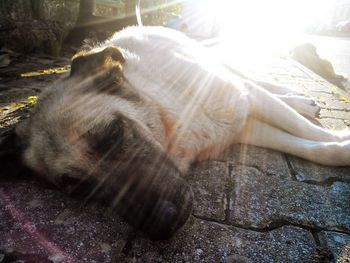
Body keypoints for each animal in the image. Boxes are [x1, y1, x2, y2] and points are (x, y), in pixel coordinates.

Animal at [6, 26, 350, 239]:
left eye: (112, 134)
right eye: (77, 187)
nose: (162, 224)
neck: (174, 114)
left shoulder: (244, 100)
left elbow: (304, 130)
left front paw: (339, 138)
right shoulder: (242, 128)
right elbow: (311, 146)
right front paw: (337, 146)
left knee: (254, 79)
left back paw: (297, 98)